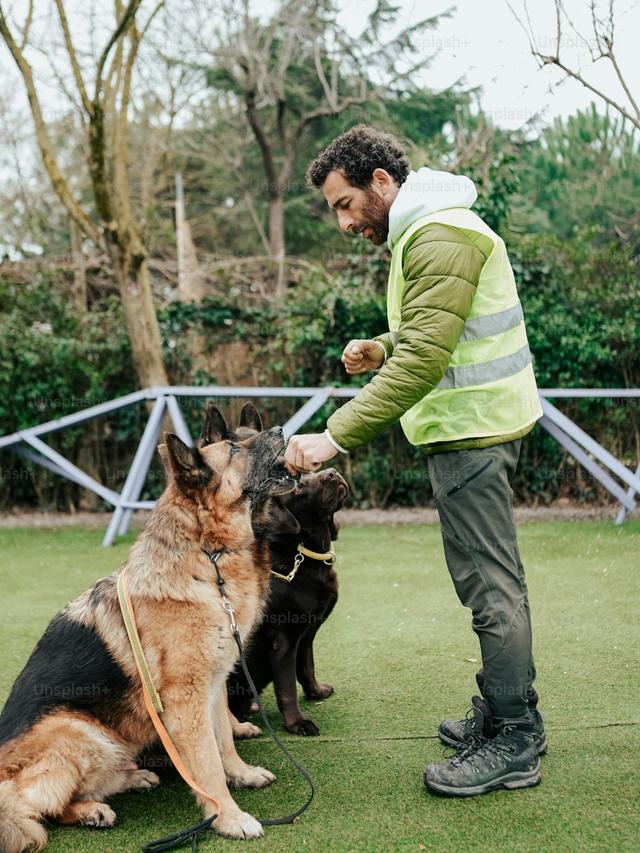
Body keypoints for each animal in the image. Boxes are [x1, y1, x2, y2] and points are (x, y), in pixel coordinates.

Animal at [0, 402, 298, 848]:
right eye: (234, 448)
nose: (282, 428)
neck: (208, 558)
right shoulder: (186, 702)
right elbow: (207, 764)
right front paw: (229, 817)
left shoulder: (212, 687)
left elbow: (223, 742)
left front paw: (241, 774)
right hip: (81, 732)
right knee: (33, 806)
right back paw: (89, 811)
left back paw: (131, 779)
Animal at [226, 402, 348, 736]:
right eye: (300, 486)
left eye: (312, 471)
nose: (333, 472)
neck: (303, 555)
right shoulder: (284, 638)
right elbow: (286, 686)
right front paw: (297, 723)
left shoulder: (308, 632)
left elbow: (306, 667)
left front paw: (316, 692)